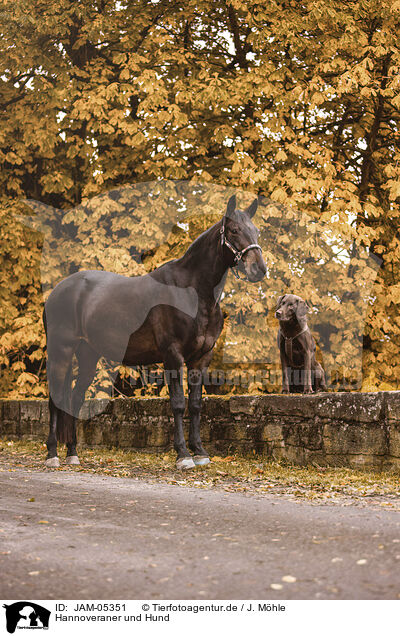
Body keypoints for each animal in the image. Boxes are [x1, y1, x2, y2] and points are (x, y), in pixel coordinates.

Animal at [43, 196, 266, 470]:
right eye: (234, 230)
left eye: (256, 231)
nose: (259, 269)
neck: (192, 292)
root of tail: (57, 291)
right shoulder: (173, 355)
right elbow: (178, 404)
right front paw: (183, 455)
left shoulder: (201, 358)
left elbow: (195, 405)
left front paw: (200, 452)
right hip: (61, 350)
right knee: (54, 399)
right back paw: (52, 454)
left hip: (88, 355)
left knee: (75, 398)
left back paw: (73, 453)